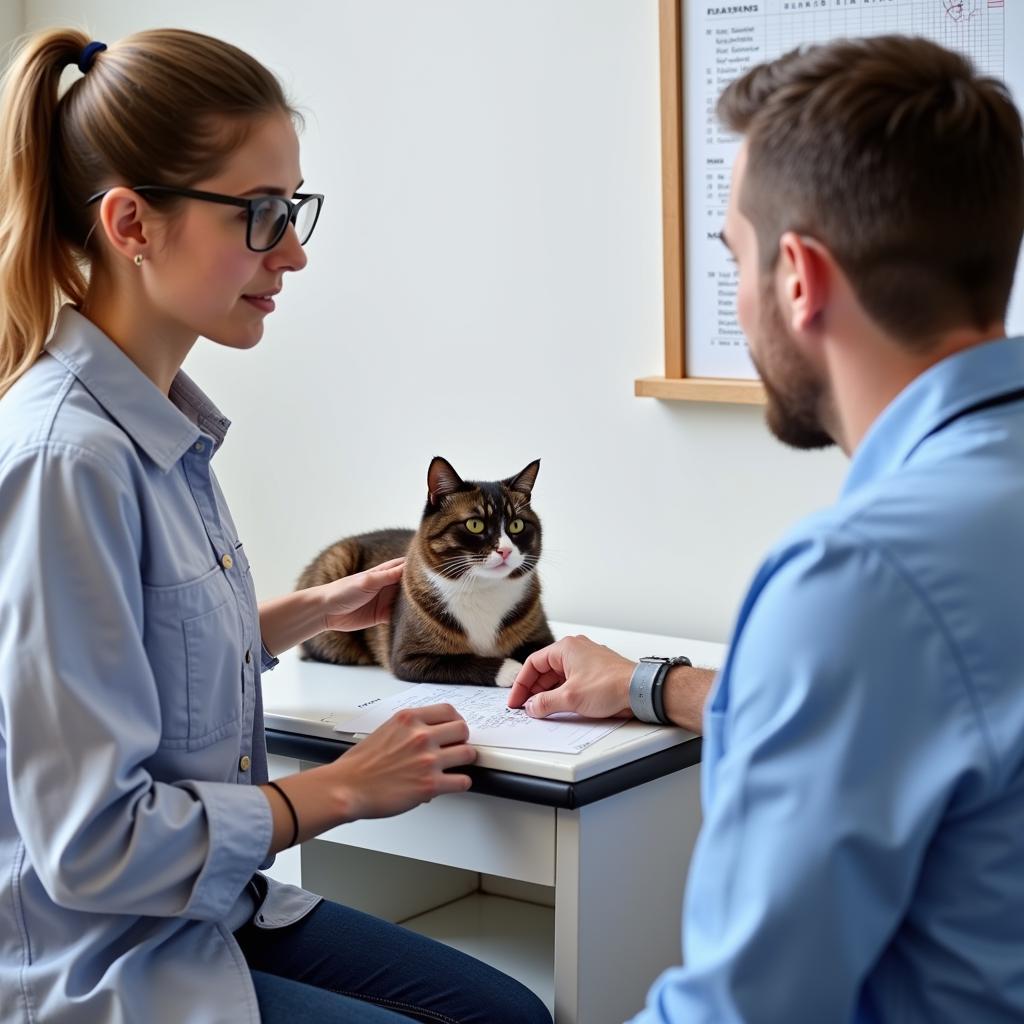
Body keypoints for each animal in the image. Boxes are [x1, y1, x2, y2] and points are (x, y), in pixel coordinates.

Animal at [296, 458, 552, 688]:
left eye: (517, 525)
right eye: (475, 524)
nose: (505, 550)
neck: (482, 587)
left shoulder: (541, 636)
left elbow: (542, 649)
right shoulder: (409, 658)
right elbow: (463, 662)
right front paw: (513, 670)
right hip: (338, 561)